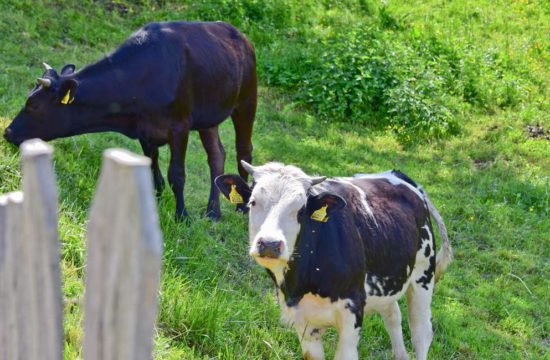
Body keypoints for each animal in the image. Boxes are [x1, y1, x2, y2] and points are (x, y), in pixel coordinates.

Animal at [3, 22, 258, 221]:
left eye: (33, 105)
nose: (7, 132)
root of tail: (240, 35)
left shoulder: (179, 126)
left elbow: (177, 174)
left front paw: (182, 216)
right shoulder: (145, 129)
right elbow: (153, 166)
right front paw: (154, 201)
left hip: (246, 100)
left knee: (243, 150)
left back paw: (241, 207)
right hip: (208, 116)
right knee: (216, 154)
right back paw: (213, 212)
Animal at [218, 162, 454, 360]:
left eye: (301, 209)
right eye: (253, 202)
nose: (269, 243)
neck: (302, 281)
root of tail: (397, 175)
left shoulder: (353, 310)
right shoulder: (303, 320)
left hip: (423, 275)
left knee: (421, 332)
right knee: (393, 316)